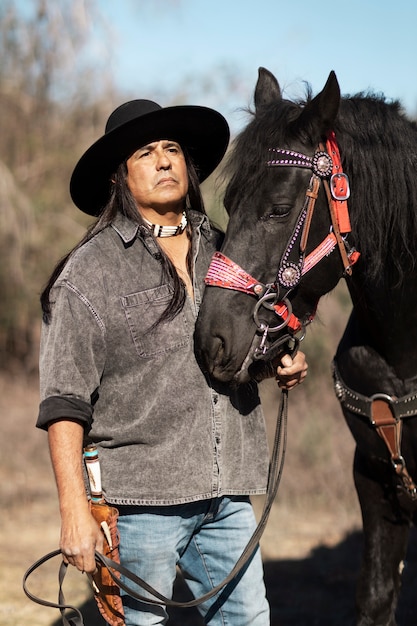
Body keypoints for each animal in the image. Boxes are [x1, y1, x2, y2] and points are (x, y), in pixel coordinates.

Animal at [194, 68, 416, 624]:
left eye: (278, 210)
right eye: (229, 202)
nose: (211, 341)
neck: (404, 353)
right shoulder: (376, 479)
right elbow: (375, 597)